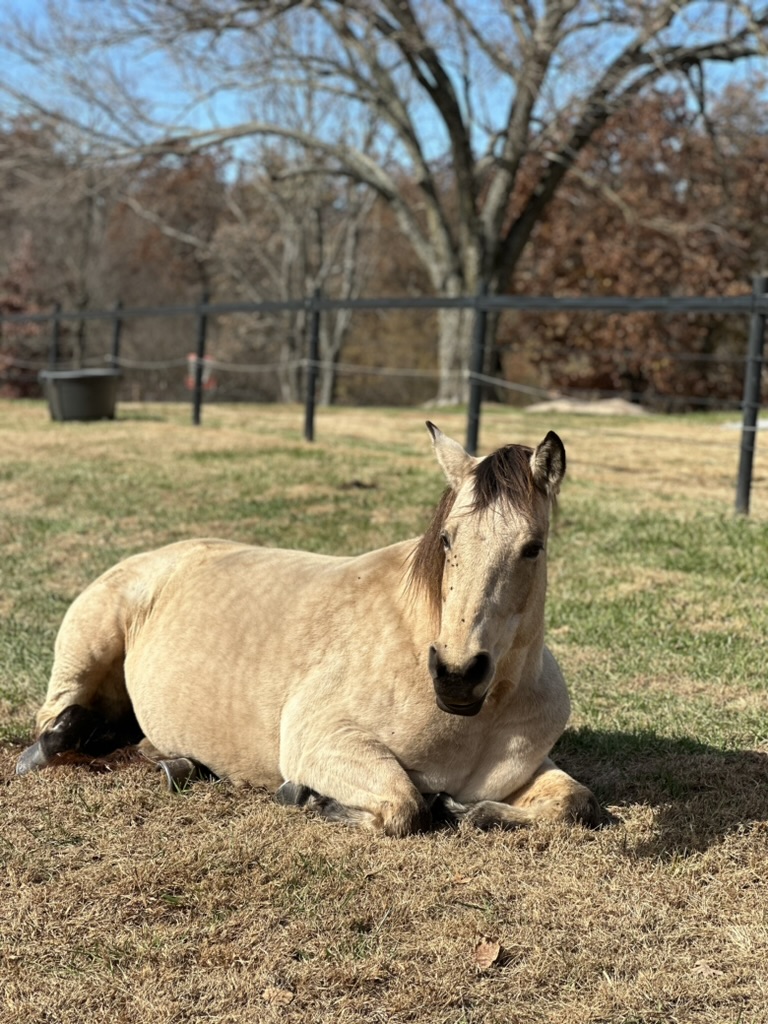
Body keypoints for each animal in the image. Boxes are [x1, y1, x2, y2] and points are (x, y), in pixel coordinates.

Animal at [16, 422, 608, 835]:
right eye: (447, 539)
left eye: (533, 548)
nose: (457, 676)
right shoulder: (324, 742)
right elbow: (405, 805)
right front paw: (311, 799)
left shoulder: (528, 769)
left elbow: (575, 803)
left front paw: (472, 811)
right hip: (86, 651)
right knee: (58, 721)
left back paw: (177, 762)